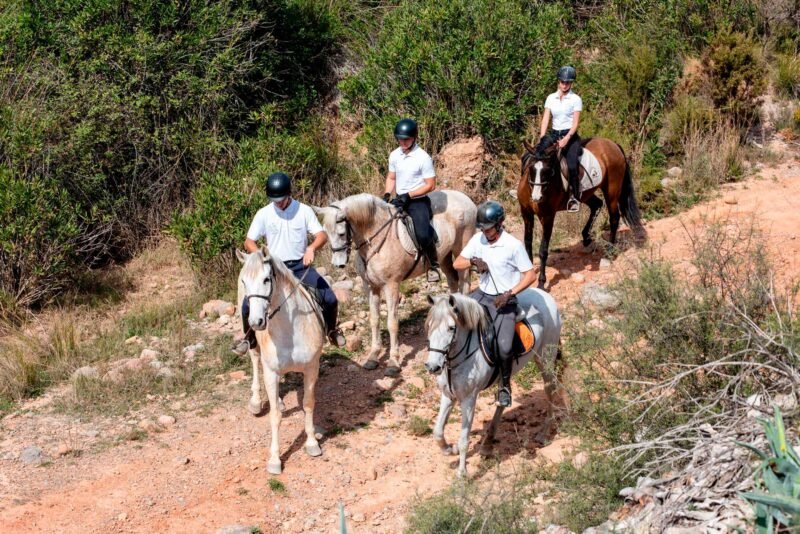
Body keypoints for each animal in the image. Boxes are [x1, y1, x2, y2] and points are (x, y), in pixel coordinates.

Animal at [236, 246, 326, 475]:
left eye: (267, 279)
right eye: (244, 281)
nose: (256, 321)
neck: (288, 330)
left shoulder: (312, 367)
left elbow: (308, 404)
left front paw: (312, 443)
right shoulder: (271, 372)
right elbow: (275, 416)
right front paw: (275, 459)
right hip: (254, 347)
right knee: (255, 360)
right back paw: (257, 401)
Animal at [314, 192, 477, 376]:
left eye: (342, 233)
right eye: (326, 233)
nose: (338, 264)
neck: (375, 239)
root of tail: (465, 198)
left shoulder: (391, 285)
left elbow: (392, 323)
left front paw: (393, 361)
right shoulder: (371, 286)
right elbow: (374, 320)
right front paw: (373, 356)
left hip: (461, 250)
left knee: (464, 284)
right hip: (444, 257)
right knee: (452, 281)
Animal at [424, 290, 565, 477]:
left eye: (451, 328)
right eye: (429, 326)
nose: (433, 366)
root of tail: (544, 294)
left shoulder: (469, 399)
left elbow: (464, 439)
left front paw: (462, 473)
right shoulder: (448, 395)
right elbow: (438, 432)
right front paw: (449, 449)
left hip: (545, 358)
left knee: (550, 390)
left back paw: (543, 434)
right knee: (503, 401)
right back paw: (488, 443)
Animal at [519, 138, 645, 289]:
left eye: (548, 170)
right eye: (531, 168)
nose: (537, 198)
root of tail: (613, 144)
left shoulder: (548, 216)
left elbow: (543, 250)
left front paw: (541, 283)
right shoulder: (526, 213)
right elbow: (527, 244)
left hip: (611, 192)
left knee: (614, 218)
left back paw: (609, 253)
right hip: (586, 194)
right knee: (597, 205)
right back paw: (586, 237)